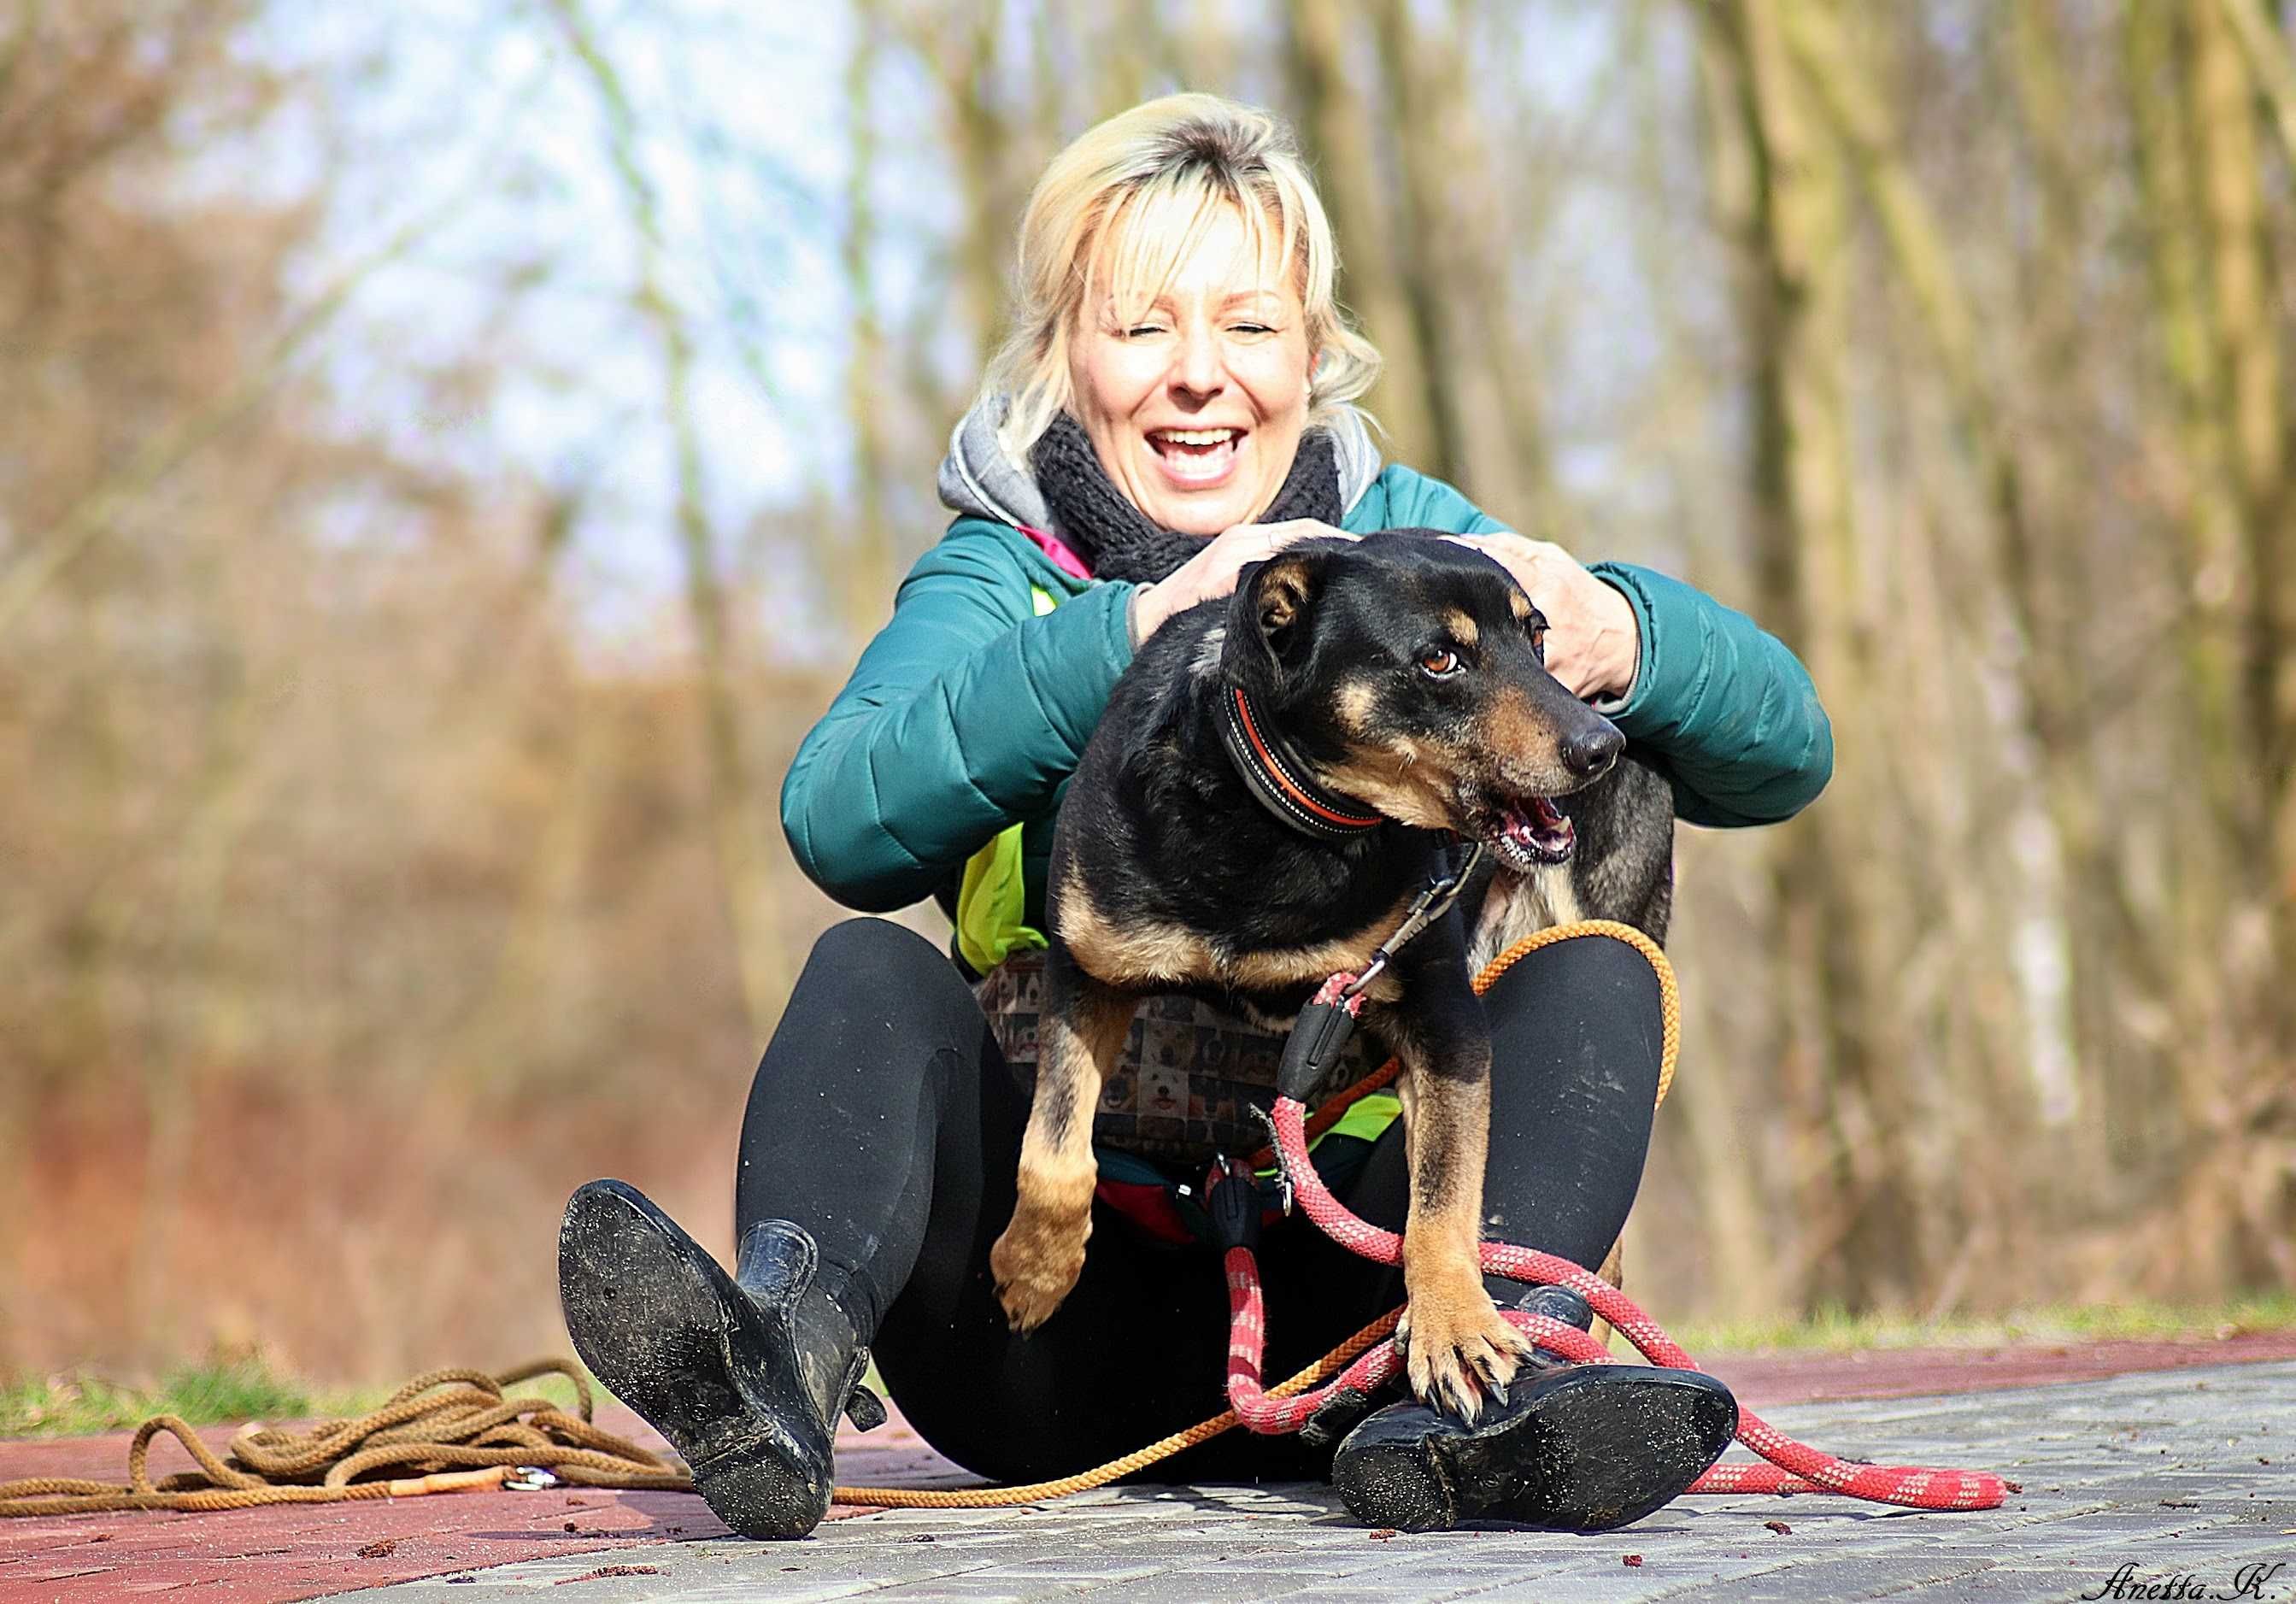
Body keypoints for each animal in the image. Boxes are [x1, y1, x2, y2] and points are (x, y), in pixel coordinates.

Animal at [987, 530, 1671, 1413]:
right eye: (1440, 658)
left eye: (1538, 638)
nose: (1599, 747)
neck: (1291, 819)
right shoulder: (1087, 964)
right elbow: (1055, 1149)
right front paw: (1032, 1270)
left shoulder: (1443, 1014)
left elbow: (1442, 1194)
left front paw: (1453, 1327)